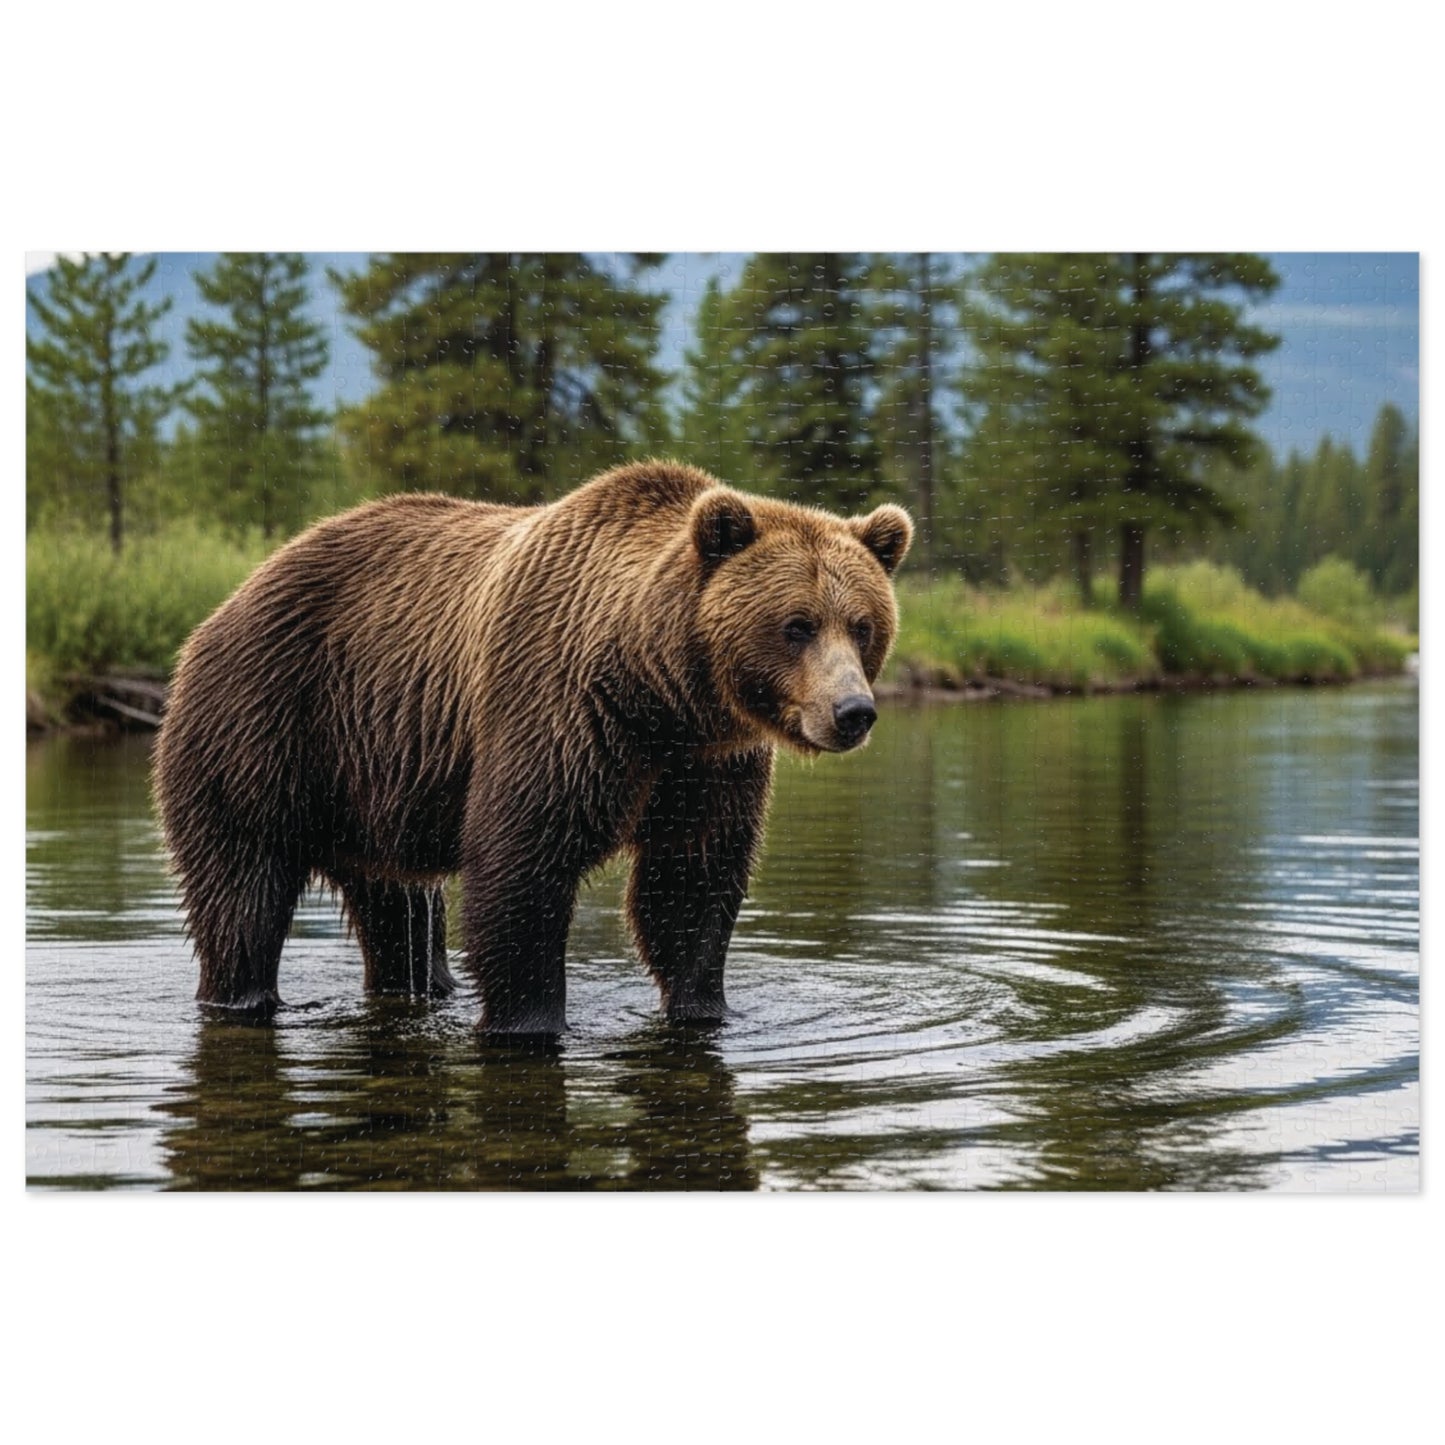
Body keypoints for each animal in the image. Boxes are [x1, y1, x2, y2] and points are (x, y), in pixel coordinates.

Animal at [152, 460, 912, 1035]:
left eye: (862, 624)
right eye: (796, 624)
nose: (852, 711)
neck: (659, 690)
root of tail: (228, 600)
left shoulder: (706, 765)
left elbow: (689, 883)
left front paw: (704, 1007)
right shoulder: (559, 709)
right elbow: (522, 867)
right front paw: (530, 1019)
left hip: (372, 773)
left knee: (396, 905)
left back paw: (417, 983)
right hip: (263, 725)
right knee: (241, 890)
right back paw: (240, 992)